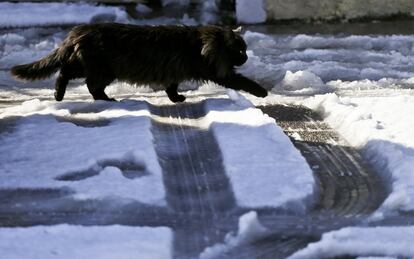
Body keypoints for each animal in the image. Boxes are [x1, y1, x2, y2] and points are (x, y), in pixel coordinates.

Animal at [11, 23, 268, 102]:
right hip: (97, 67)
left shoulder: (173, 72)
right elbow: (244, 81)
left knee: (86, 83)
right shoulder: (219, 72)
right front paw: (262, 92)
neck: (204, 42)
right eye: (240, 50)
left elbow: (171, 88)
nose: (246, 58)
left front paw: (177, 99)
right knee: (70, 76)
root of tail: (79, 30)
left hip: (96, 68)